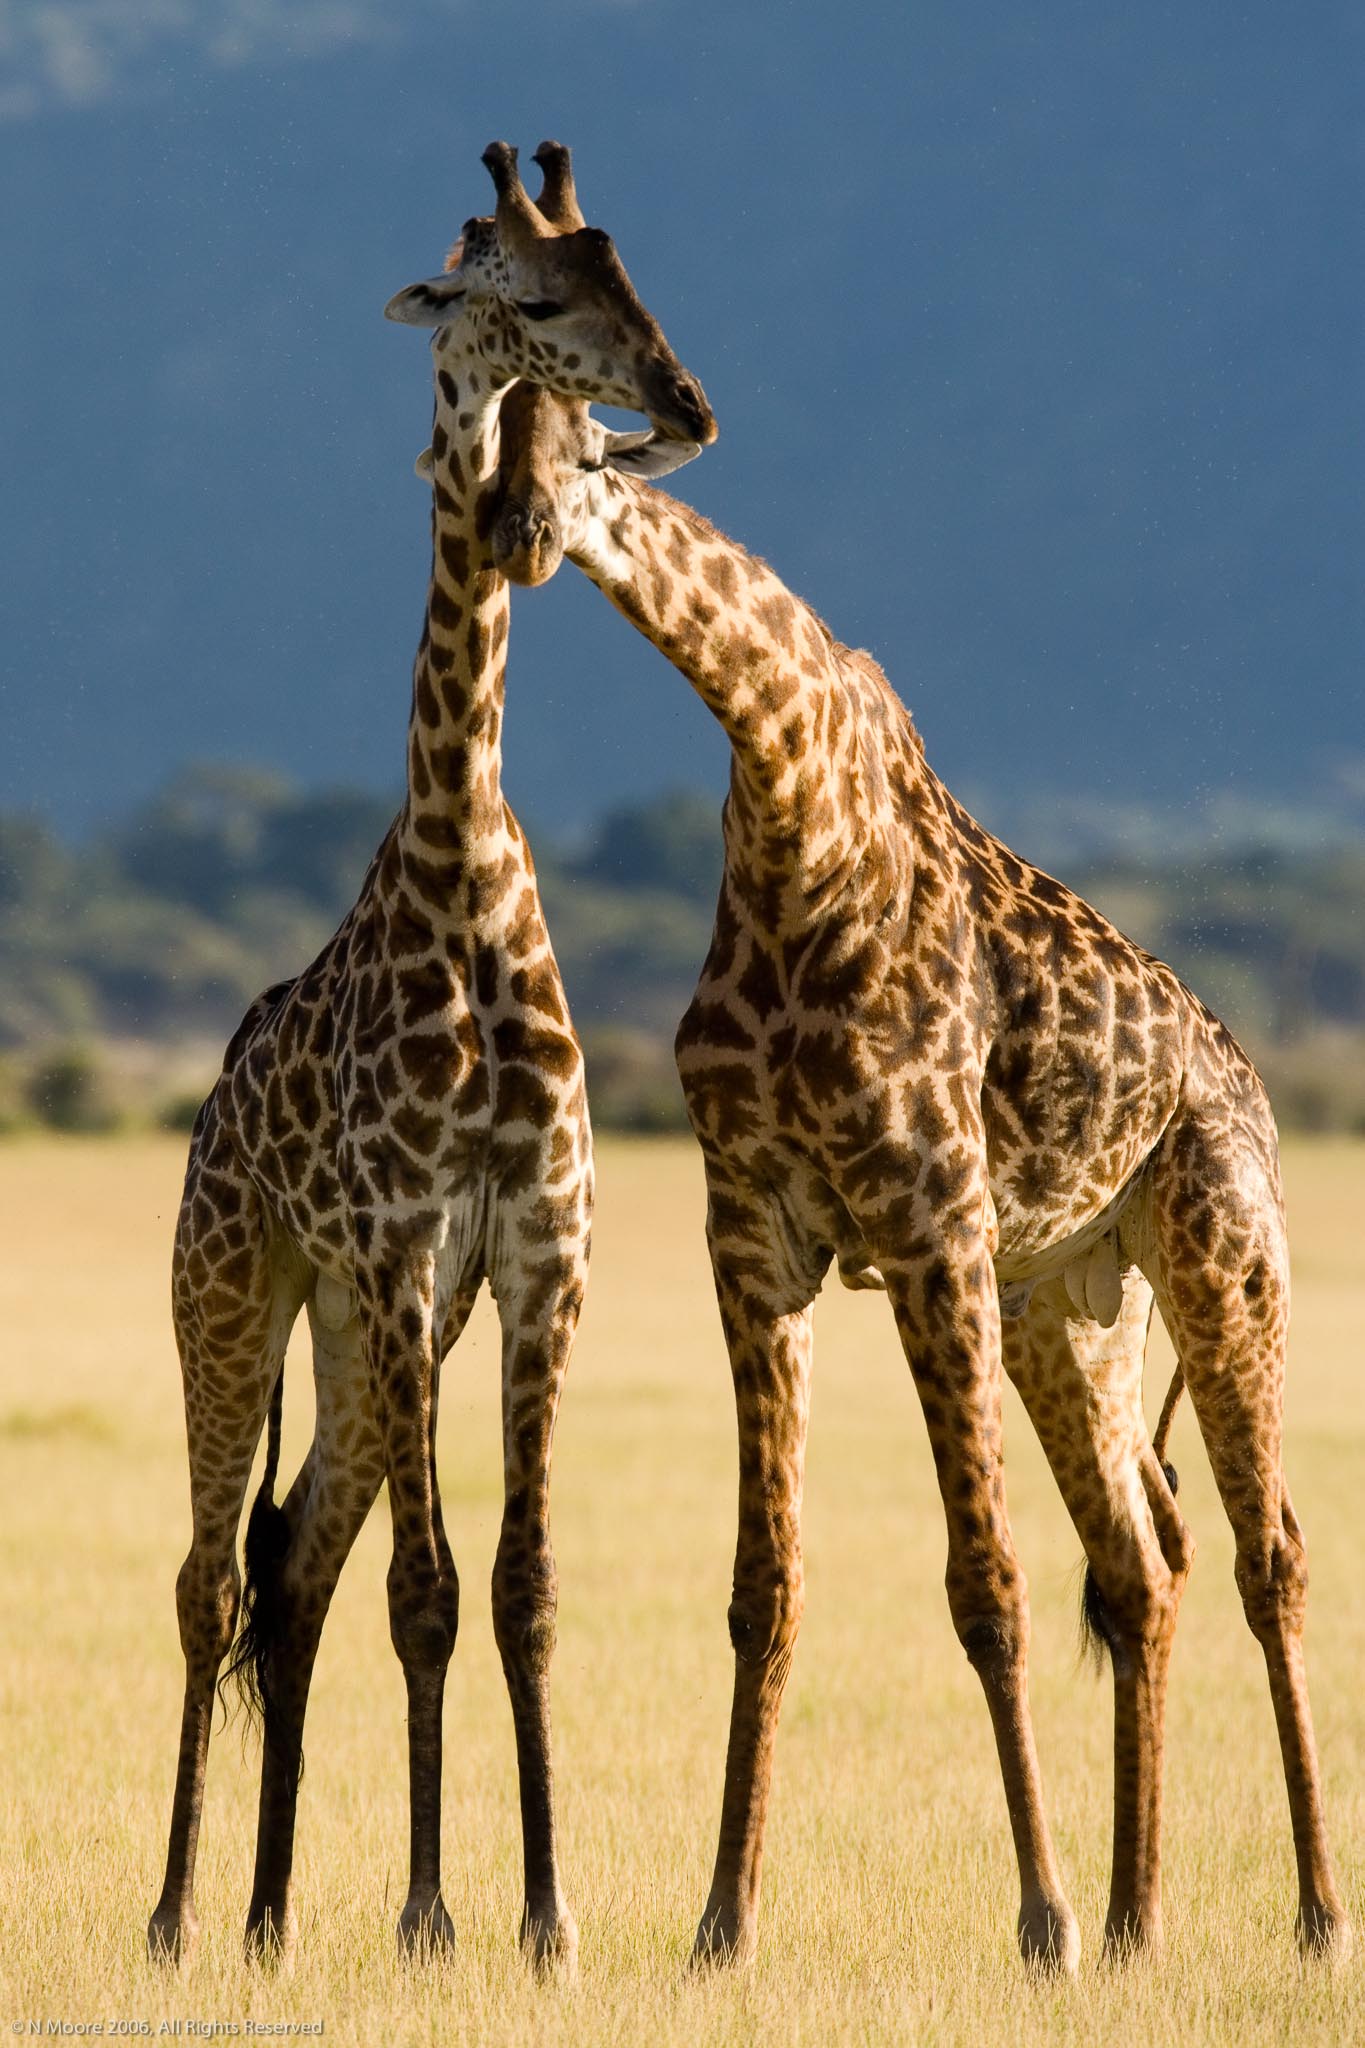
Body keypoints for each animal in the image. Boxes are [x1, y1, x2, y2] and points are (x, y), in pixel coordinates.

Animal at [145, 144, 720, 1966]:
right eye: (530, 299)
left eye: (634, 278)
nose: (684, 402)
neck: (463, 876)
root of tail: (205, 1111)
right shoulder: (404, 1259)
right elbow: (430, 1591)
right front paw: (428, 1915)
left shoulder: (533, 1259)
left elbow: (516, 1590)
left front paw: (541, 1915)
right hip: (236, 1292)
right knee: (212, 1576)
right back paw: (178, 1912)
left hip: (347, 1335)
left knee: (294, 1561)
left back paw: (267, 1914)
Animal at [485, 172, 1350, 1966]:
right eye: (491, 397)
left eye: (584, 409)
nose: (520, 532)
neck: (786, 794)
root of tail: (1238, 1070)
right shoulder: (760, 1230)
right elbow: (768, 1587)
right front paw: (723, 1920)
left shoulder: (931, 1224)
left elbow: (984, 1582)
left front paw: (1037, 1919)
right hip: (1072, 1300)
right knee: (1145, 1560)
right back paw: (1143, 1915)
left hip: (1216, 1255)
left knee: (1268, 1550)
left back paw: (1305, 1913)